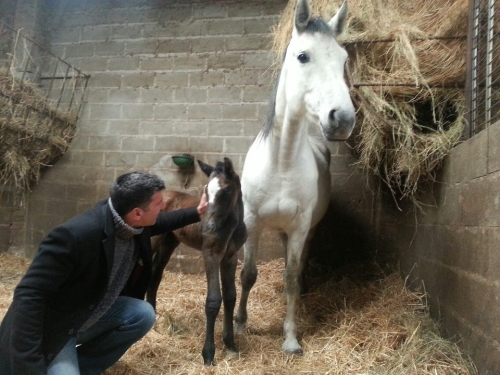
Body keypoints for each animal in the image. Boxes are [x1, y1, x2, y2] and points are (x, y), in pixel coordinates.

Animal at [146, 159, 247, 368]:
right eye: (206, 190)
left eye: (226, 190)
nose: (208, 227)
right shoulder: (211, 254)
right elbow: (214, 300)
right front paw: (208, 354)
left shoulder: (230, 257)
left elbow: (230, 297)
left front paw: (231, 346)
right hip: (153, 239)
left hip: (169, 241)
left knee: (156, 272)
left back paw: (153, 315)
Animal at [234, 0, 356, 356]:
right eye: (303, 56)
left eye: (343, 59)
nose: (342, 119)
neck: (281, 162)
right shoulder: (252, 222)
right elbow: (248, 274)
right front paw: (241, 323)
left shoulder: (301, 227)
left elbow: (290, 277)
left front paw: (290, 337)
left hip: (306, 231)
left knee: (299, 270)